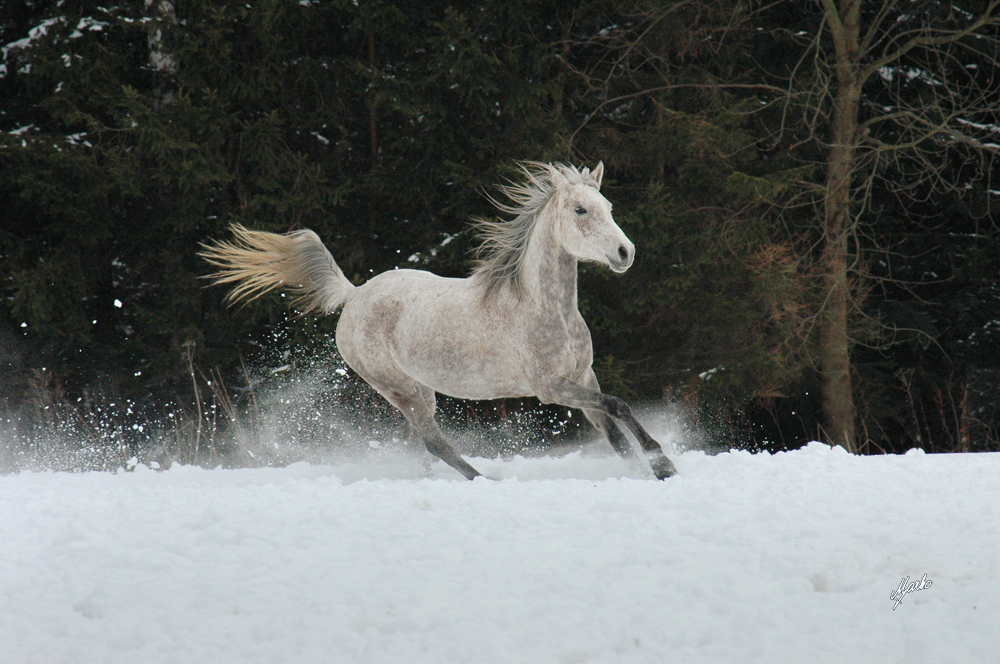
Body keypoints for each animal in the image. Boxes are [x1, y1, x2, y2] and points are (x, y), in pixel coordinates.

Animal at [199, 163, 676, 480]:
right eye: (580, 210)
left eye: (607, 205)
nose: (625, 253)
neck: (543, 308)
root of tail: (354, 295)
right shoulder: (550, 388)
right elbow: (620, 406)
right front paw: (662, 463)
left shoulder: (583, 377)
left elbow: (612, 428)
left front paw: (647, 470)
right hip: (400, 389)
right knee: (433, 440)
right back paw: (484, 480)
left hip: (419, 389)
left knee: (423, 443)